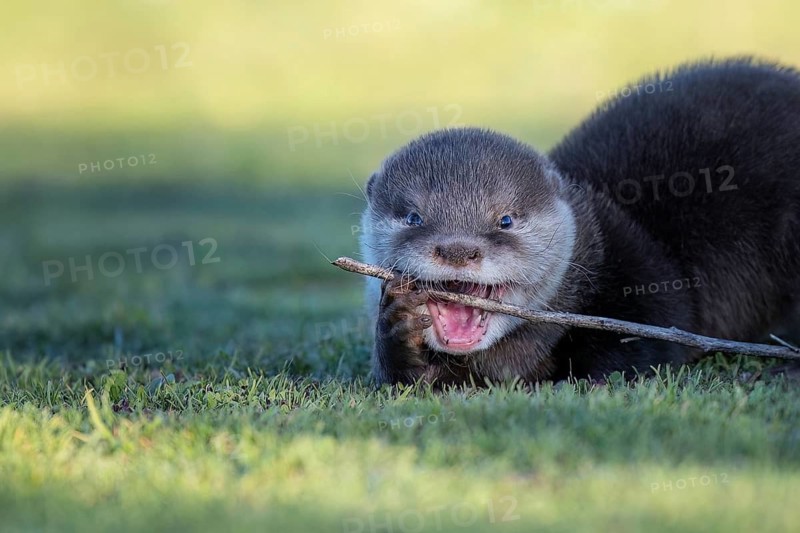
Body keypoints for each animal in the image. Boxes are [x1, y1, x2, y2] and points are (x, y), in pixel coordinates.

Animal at [359, 58, 800, 386]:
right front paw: (398, 326)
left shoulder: (645, 276)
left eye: (505, 220)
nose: (458, 249)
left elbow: (650, 341)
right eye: (414, 216)